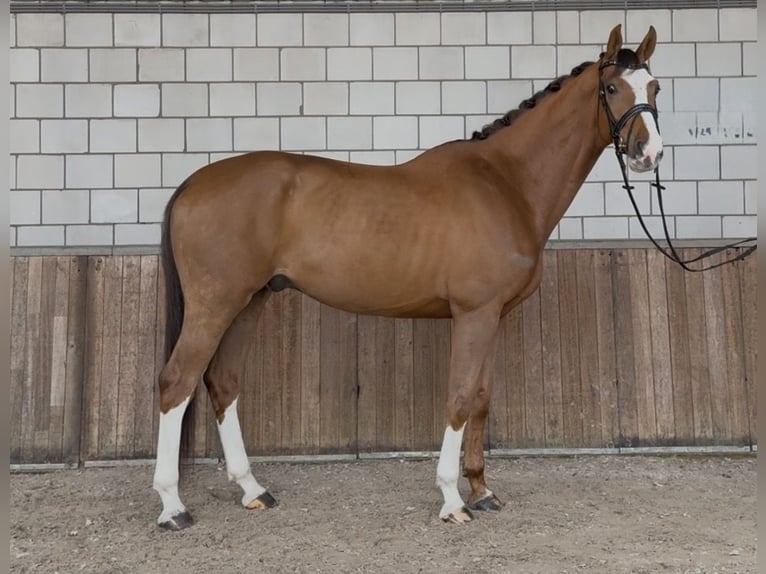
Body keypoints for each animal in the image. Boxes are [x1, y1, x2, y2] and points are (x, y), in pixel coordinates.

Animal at [151, 24, 663, 530]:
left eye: (655, 87)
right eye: (612, 88)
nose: (649, 154)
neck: (506, 182)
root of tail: (193, 183)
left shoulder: (492, 316)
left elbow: (481, 397)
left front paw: (482, 491)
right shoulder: (474, 314)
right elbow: (460, 398)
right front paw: (452, 499)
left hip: (250, 300)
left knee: (223, 382)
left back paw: (252, 490)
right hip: (215, 304)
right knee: (177, 382)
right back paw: (173, 506)